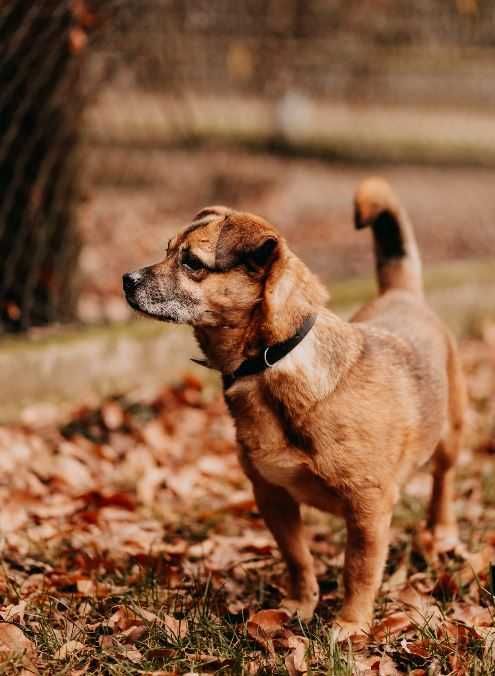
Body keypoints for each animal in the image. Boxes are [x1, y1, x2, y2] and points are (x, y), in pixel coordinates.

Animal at [123, 177, 464, 636]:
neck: (272, 359)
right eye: (166, 250)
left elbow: (359, 570)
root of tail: (402, 293)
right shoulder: (273, 497)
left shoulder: (369, 508)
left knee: (443, 481)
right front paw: (302, 605)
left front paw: (351, 625)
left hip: (449, 437)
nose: (126, 279)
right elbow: (298, 559)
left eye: (191, 262)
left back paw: (441, 529)